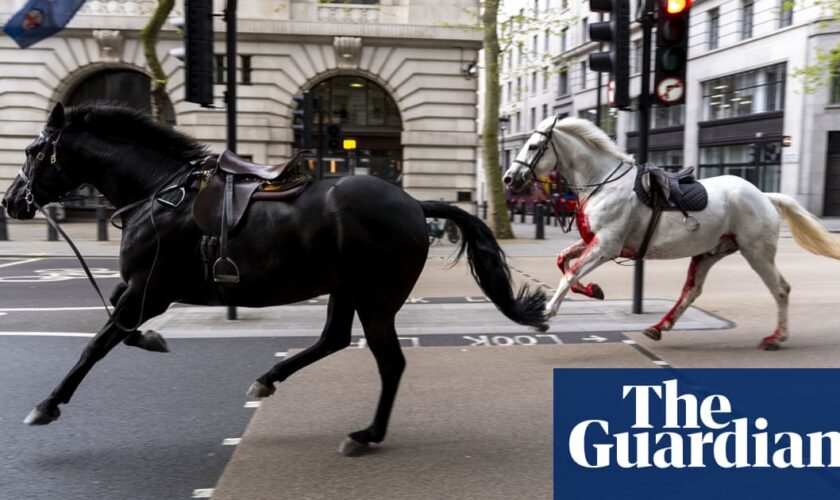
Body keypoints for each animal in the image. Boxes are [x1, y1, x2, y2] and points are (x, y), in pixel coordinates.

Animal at [0, 103, 548, 456]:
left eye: (32, 151)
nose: (11, 202)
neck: (159, 194)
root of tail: (414, 203)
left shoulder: (149, 291)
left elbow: (97, 343)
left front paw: (47, 404)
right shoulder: (140, 291)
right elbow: (118, 326)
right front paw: (154, 340)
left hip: (377, 298)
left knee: (389, 362)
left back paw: (366, 434)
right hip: (346, 289)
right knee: (333, 339)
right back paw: (269, 380)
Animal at [502, 115, 836, 350]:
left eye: (534, 146)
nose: (508, 178)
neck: (603, 183)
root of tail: (765, 196)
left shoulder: (606, 245)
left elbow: (570, 273)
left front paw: (544, 316)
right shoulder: (593, 241)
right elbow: (563, 261)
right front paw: (593, 290)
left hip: (756, 252)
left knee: (780, 289)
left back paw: (776, 338)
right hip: (710, 252)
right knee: (692, 290)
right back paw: (659, 327)